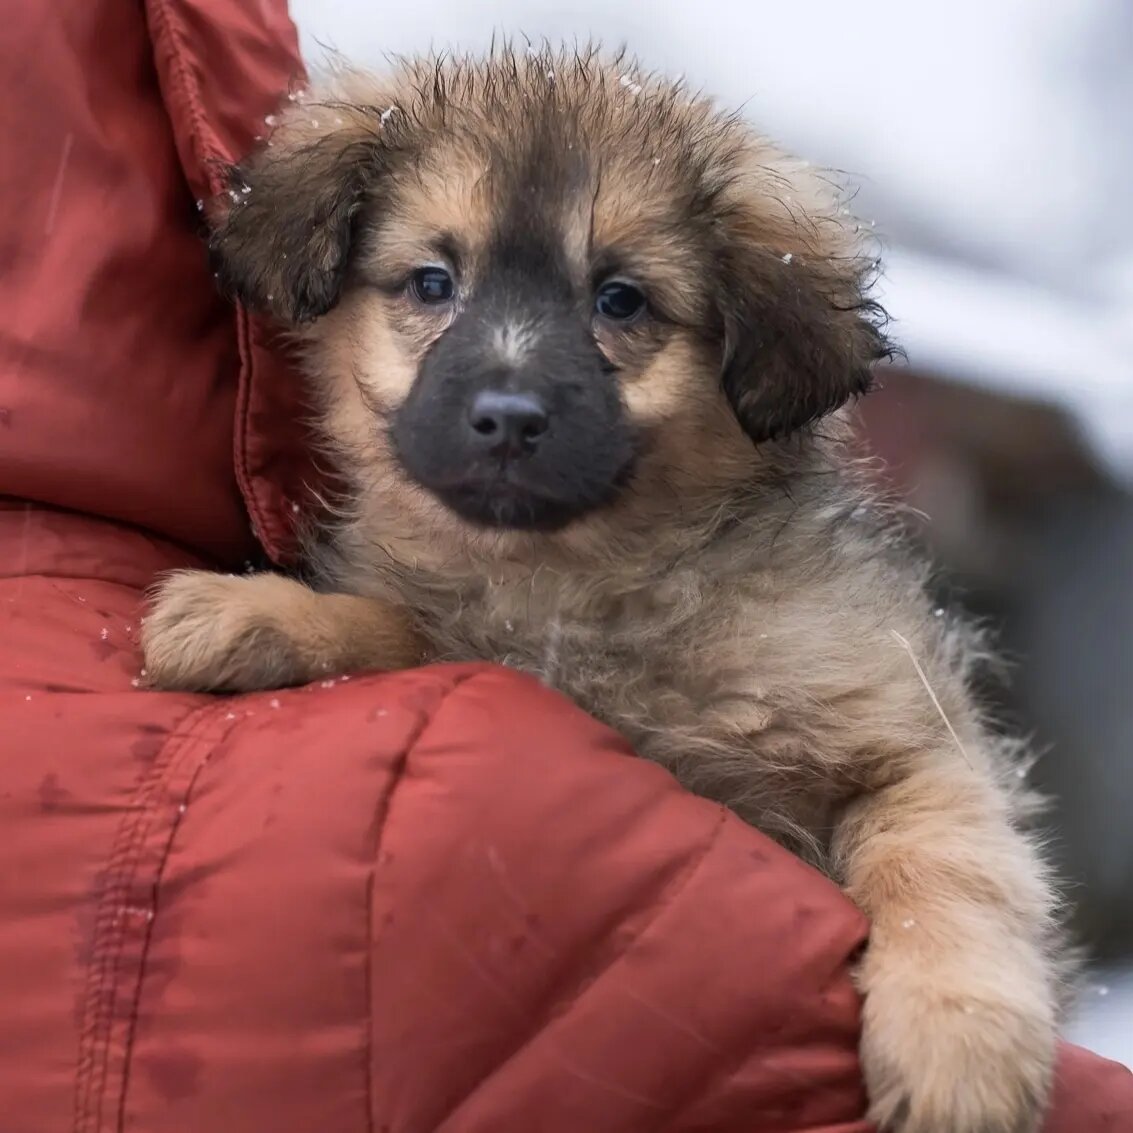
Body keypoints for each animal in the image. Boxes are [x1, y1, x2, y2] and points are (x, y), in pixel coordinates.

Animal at [143, 48, 1069, 1128]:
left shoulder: (915, 744)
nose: (506, 418)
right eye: (432, 281)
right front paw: (254, 613)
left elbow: (944, 873)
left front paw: (958, 1044)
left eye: (620, 300)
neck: (583, 583)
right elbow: (408, 629)